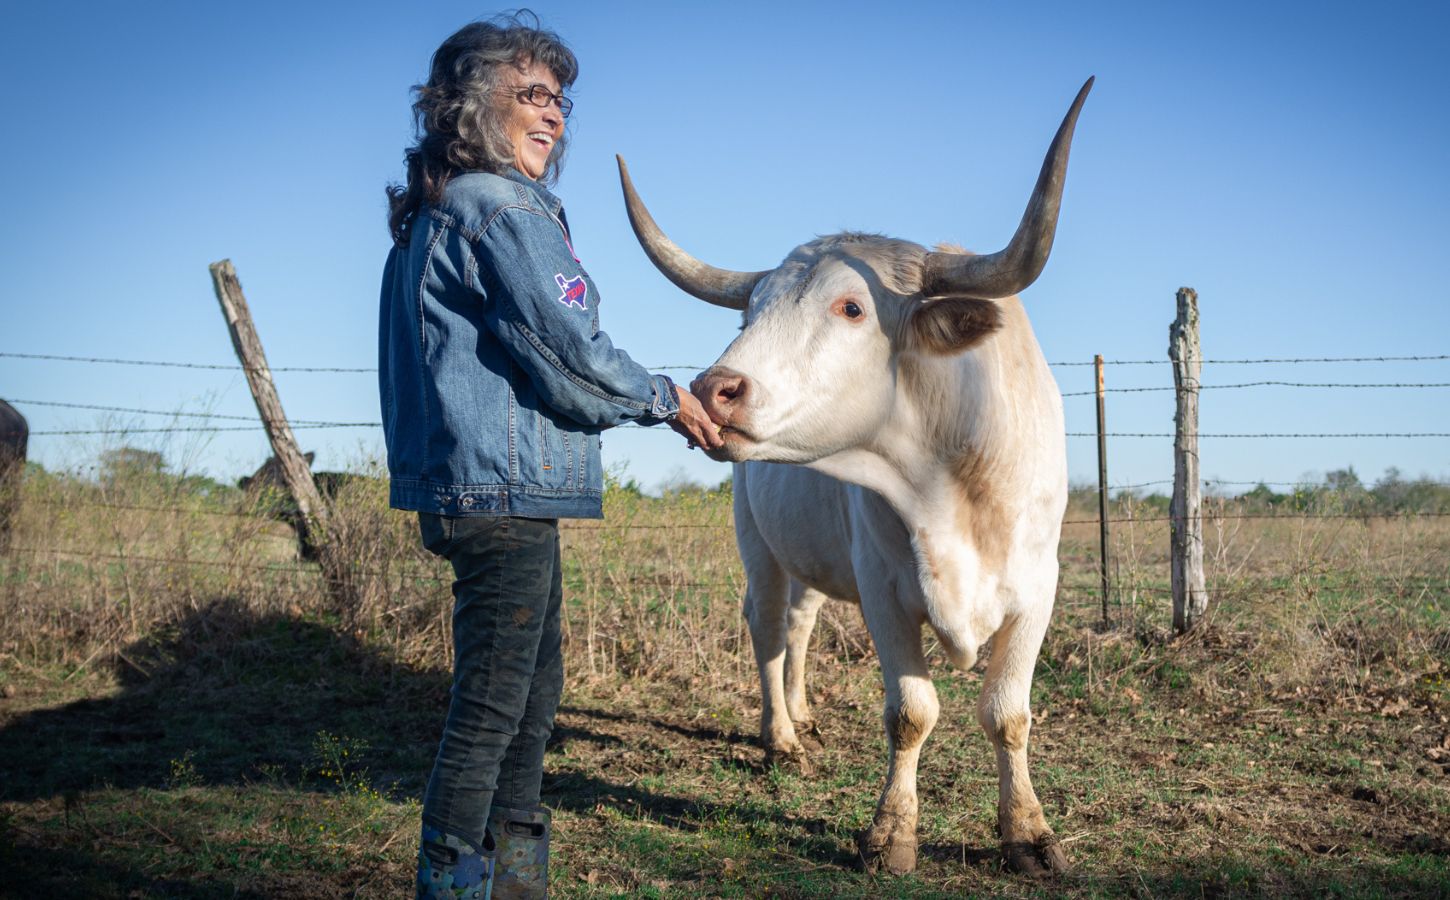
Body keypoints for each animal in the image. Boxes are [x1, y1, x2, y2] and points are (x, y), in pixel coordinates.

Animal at [617, 80, 1090, 875]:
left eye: (851, 306)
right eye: (749, 311)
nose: (713, 389)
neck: (950, 477)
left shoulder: (1037, 588)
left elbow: (1008, 713)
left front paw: (1028, 833)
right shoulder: (883, 586)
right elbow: (911, 712)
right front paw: (890, 832)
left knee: (800, 624)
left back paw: (804, 715)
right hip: (759, 546)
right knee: (768, 625)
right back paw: (781, 736)